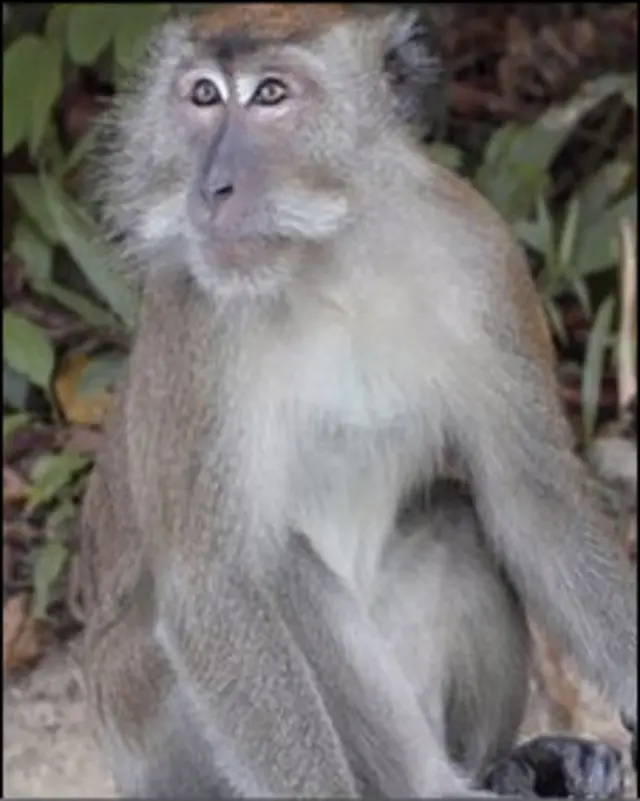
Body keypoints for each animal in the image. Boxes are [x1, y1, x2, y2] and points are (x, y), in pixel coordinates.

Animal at [79, 4, 637, 797]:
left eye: (272, 95)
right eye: (203, 96)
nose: (211, 187)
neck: (331, 257)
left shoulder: (481, 253)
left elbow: (533, 498)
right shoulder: (194, 316)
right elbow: (214, 589)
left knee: (457, 518)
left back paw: (510, 765)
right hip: (144, 726)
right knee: (278, 568)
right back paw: (445, 785)